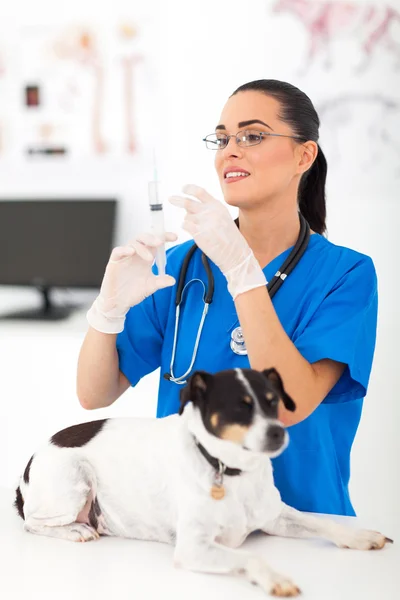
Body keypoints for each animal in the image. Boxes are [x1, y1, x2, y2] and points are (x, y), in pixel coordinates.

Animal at [14, 368, 390, 596]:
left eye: (273, 403)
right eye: (240, 407)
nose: (278, 433)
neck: (232, 472)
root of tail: (32, 459)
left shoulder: (276, 516)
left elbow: (323, 523)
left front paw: (360, 536)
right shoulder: (194, 547)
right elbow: (252, 558)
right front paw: (277, 578)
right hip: (75, 480)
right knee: (33, 523)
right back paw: (75, 530)